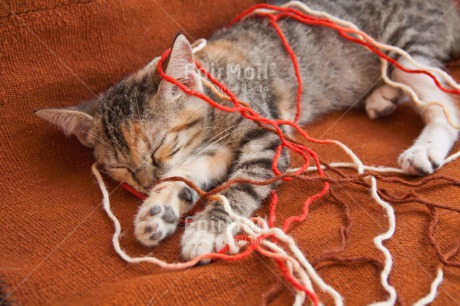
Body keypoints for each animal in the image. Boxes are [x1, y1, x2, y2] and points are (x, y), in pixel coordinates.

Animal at [36, 0, 460, 262]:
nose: (144, 184)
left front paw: (206, 230)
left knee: (444, 98)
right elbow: (187, 176)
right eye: (120, 168)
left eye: (161, 146)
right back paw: (383, 96)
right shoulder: (213, 150)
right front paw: (159, 210)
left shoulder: (267, 137)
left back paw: (424, 148)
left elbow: (238, 186)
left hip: (405, 44)